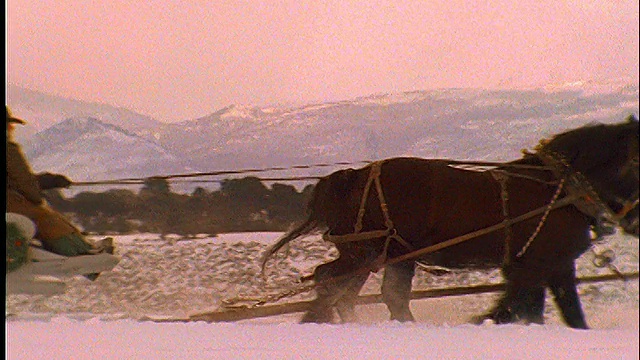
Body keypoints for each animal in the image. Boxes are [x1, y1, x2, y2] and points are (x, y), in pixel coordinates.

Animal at [262, 116, 636, 330]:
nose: (633, 222)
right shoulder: (538, 266)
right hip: (374, 252)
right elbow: (519, 307)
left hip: (379, 255)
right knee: (344, 285)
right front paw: (482, 322)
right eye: (635, 162)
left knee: (345, 287)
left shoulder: (548, 268)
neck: (558, 188)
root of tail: (353, 177)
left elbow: (554, 312)